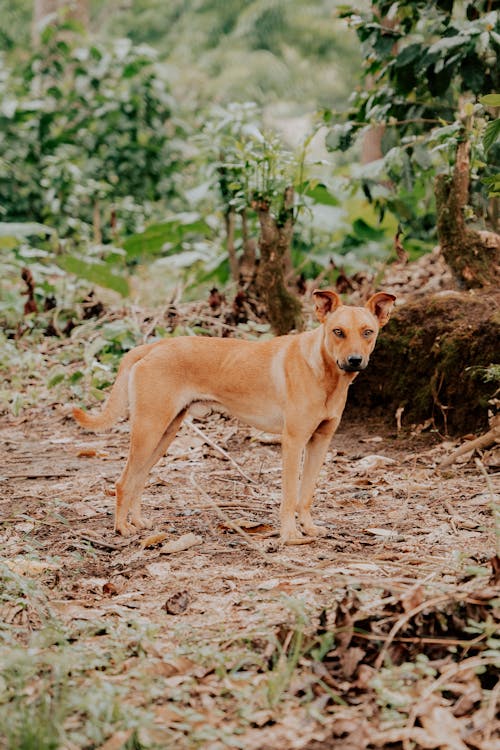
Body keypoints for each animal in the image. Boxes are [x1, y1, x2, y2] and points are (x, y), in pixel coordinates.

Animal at [73, 290, 394, 548]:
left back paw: (138, 523)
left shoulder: (320, 442)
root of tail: (151, 347)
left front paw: (309, 528)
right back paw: (121, 528)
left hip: (164, 433)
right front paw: (290, 535)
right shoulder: (293, 442)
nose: (355, 361)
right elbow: (290, 495)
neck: (323, 371)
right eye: (338, 331)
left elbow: (306, 495)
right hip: (149, 430)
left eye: (367, 332)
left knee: (139, 479)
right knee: (123, 482)